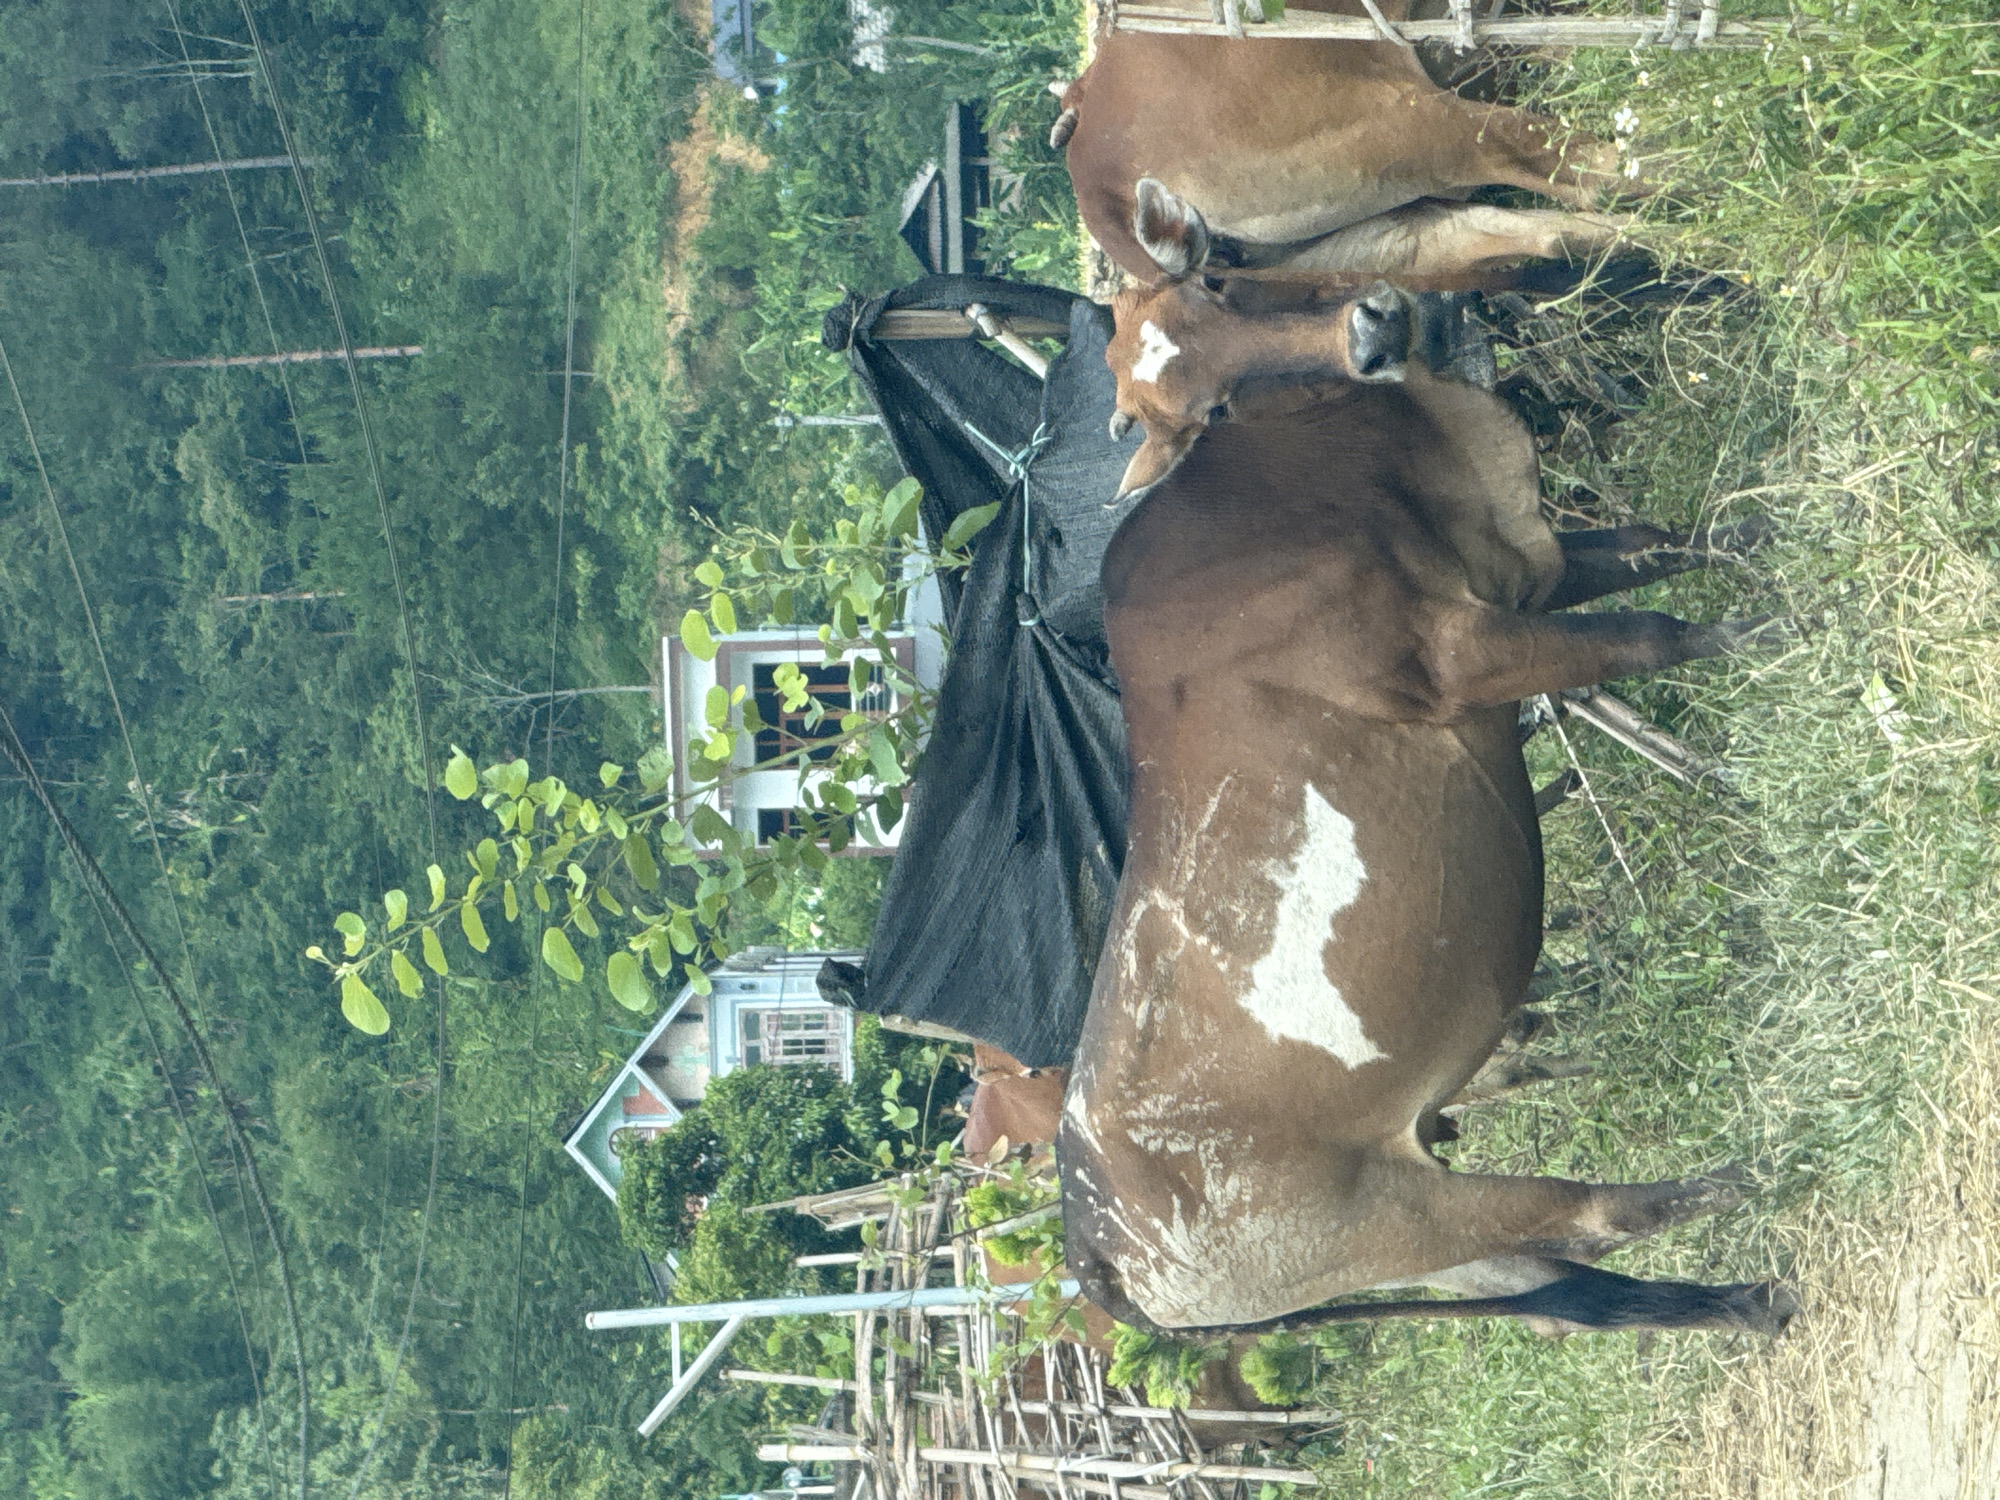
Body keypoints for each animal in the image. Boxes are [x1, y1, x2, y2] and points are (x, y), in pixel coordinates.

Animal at [1058, 278, 1796, 1340]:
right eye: (1208, 413)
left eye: (1215, 284)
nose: (1373, 329)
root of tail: (1094, 1249)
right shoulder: (1467, 653)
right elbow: (1653, 634)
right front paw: (1775, 623)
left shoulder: (1533, 573)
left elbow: (1666, 543)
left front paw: (1768, 536)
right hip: (1399, 1215)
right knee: (1595, 1220)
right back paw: (1741, 1182)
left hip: (1423, 1245)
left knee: (1570, 1297)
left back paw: (1749, 1306)